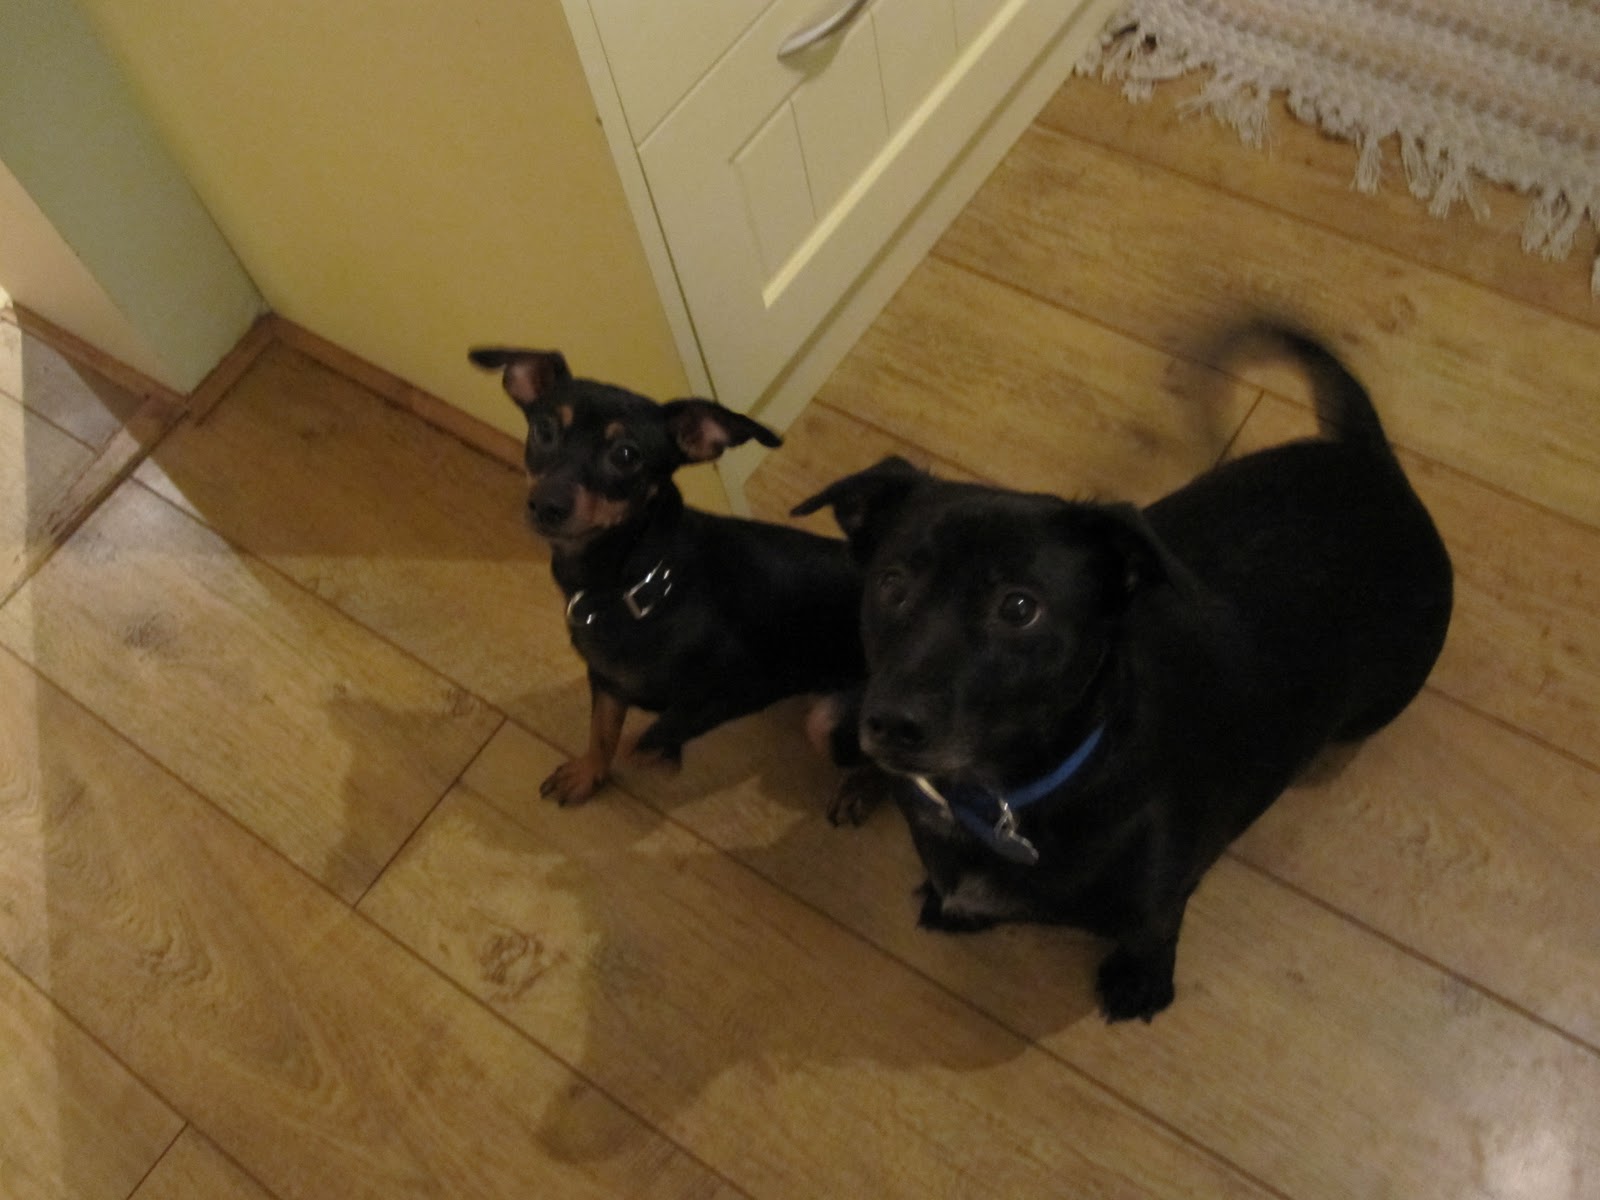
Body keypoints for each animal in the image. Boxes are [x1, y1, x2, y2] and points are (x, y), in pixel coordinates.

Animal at [471, 347, 866, 807]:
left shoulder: (739, 693)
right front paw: (587, 775)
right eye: (544, 429)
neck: (642, 585)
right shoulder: (605, 681)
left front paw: (659, 754)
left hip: (828, 722)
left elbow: (644, 737)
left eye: (626, 455)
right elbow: (602, 733)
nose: (546, 506)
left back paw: (861, 790)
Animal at [794, 327, 1453, 1021]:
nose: (889, 725)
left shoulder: (1159, 897)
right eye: (892, 584)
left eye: (1020, 608)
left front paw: (1140, 980)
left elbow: (1153, 926)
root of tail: (1377, 465)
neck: (1010, 794)